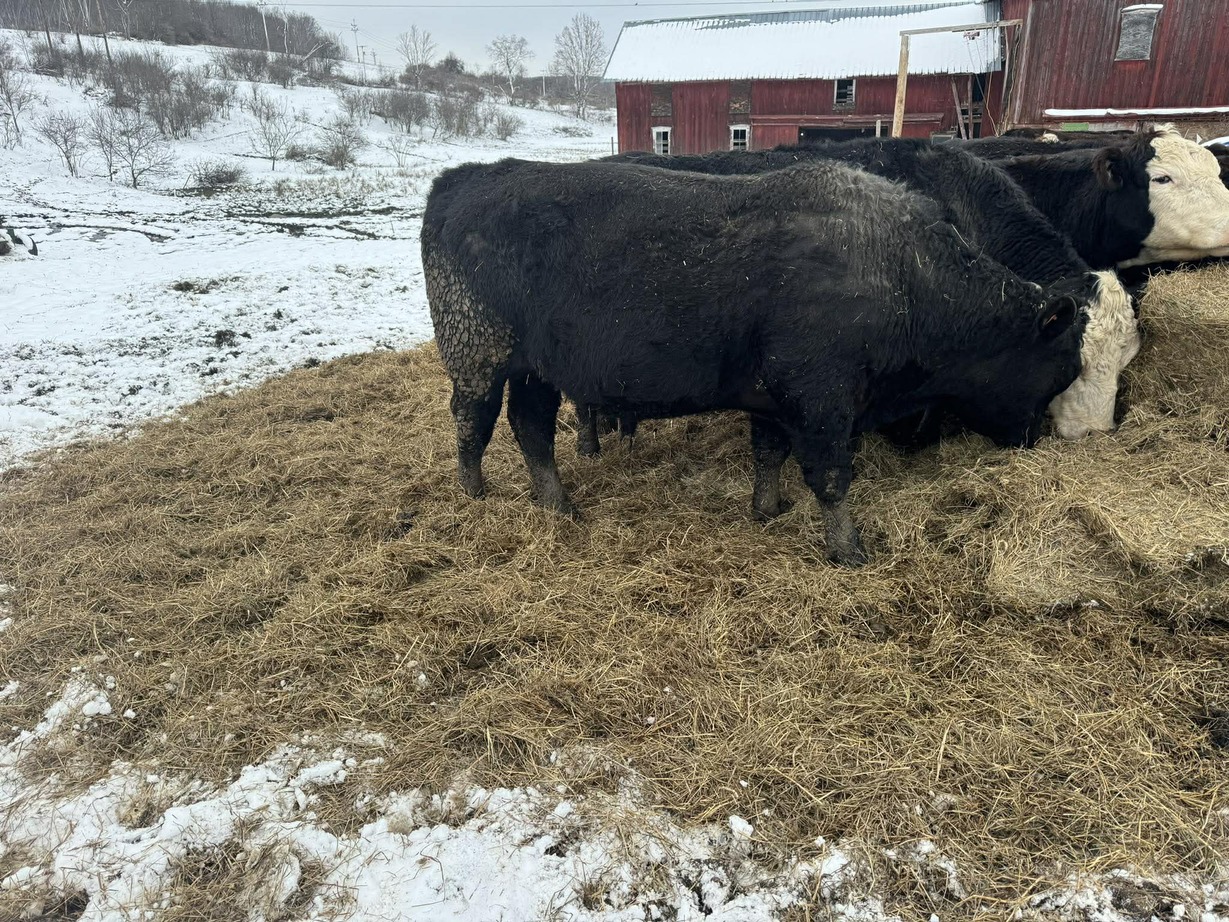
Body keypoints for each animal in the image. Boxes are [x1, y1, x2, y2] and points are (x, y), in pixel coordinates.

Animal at [423, 158, 1090, 566]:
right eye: (1064, 368)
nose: (1031, 440)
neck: (904, 272)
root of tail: (468, 176)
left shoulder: (775, 400)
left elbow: (769, 455)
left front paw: (767, 511)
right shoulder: (822, 402)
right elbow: (830, 476)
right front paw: (848, 549)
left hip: (534, 369)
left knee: (529, 426)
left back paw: (557, 504)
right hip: (479, 352)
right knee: (472, 419)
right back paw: (474, 493)